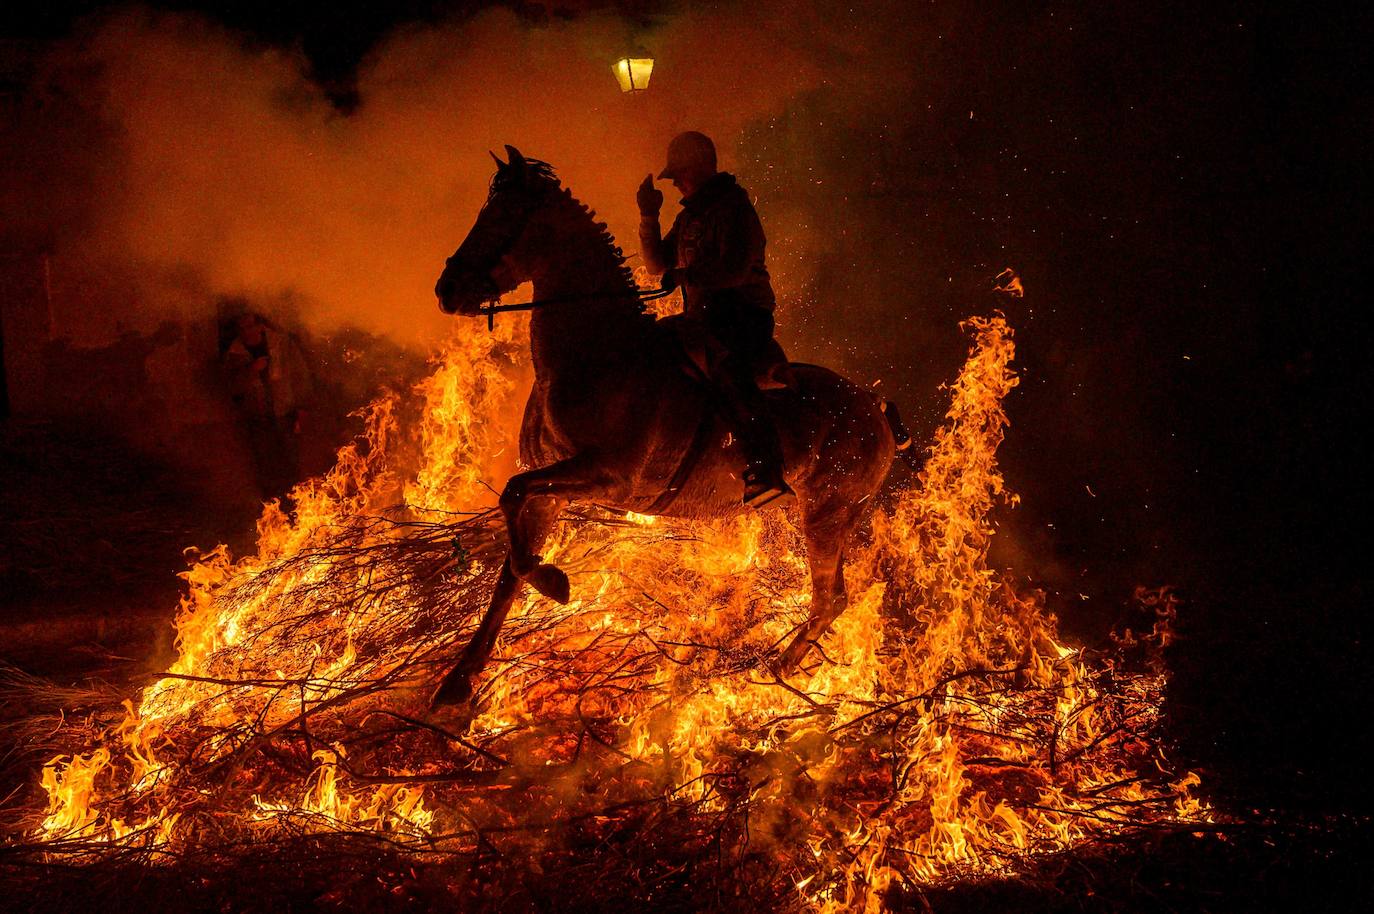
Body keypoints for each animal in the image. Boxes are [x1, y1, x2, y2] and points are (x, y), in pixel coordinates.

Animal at [428, 147, 901, 703]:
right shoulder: (552, 489)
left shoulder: (607, 478)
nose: (446, 289)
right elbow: (511, 562)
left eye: (502, 216)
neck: (597, 353)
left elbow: (513, 499)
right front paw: (460, 678)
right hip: (829, 517)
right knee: (834, 599)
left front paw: (553, 583)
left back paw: (778, 669)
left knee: (829, 599)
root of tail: (875, 408)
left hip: (826, 517)